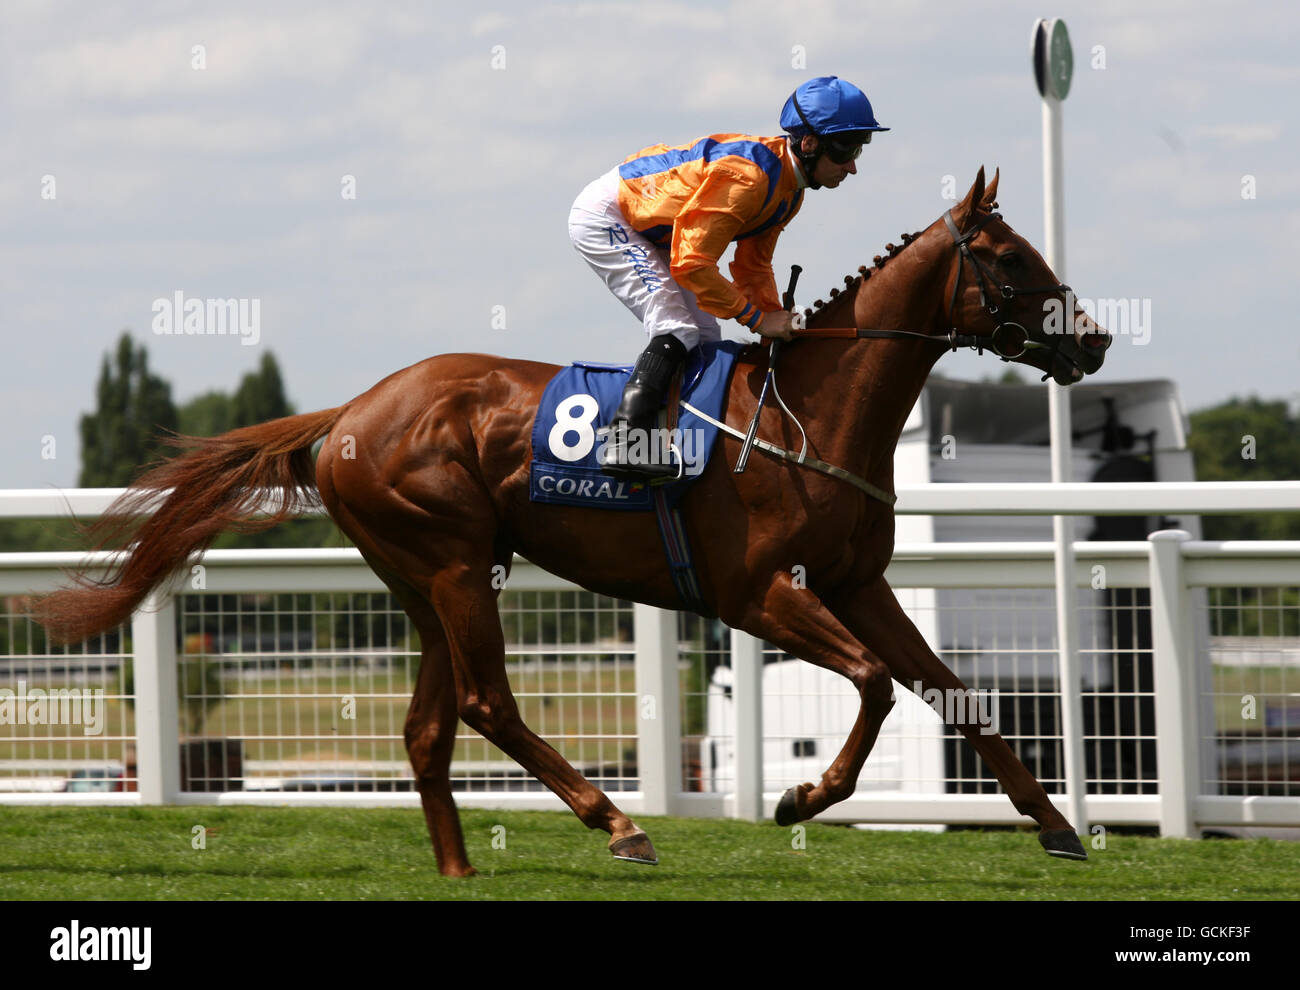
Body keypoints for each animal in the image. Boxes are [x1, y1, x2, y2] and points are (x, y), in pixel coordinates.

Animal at [32, 167, 1107, 873]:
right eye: (1008, 255)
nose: (1091, 340)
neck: (807, 412)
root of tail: (348, 414)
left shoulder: (857, 581)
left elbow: (953, 694)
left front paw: (1057, 826)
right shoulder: (754, 594)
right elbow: (880, 685)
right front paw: (802, 796)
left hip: (425, 578)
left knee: (428, 726)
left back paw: (461, 870)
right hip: (455, 560)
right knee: (485, 705)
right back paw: (617, 822)